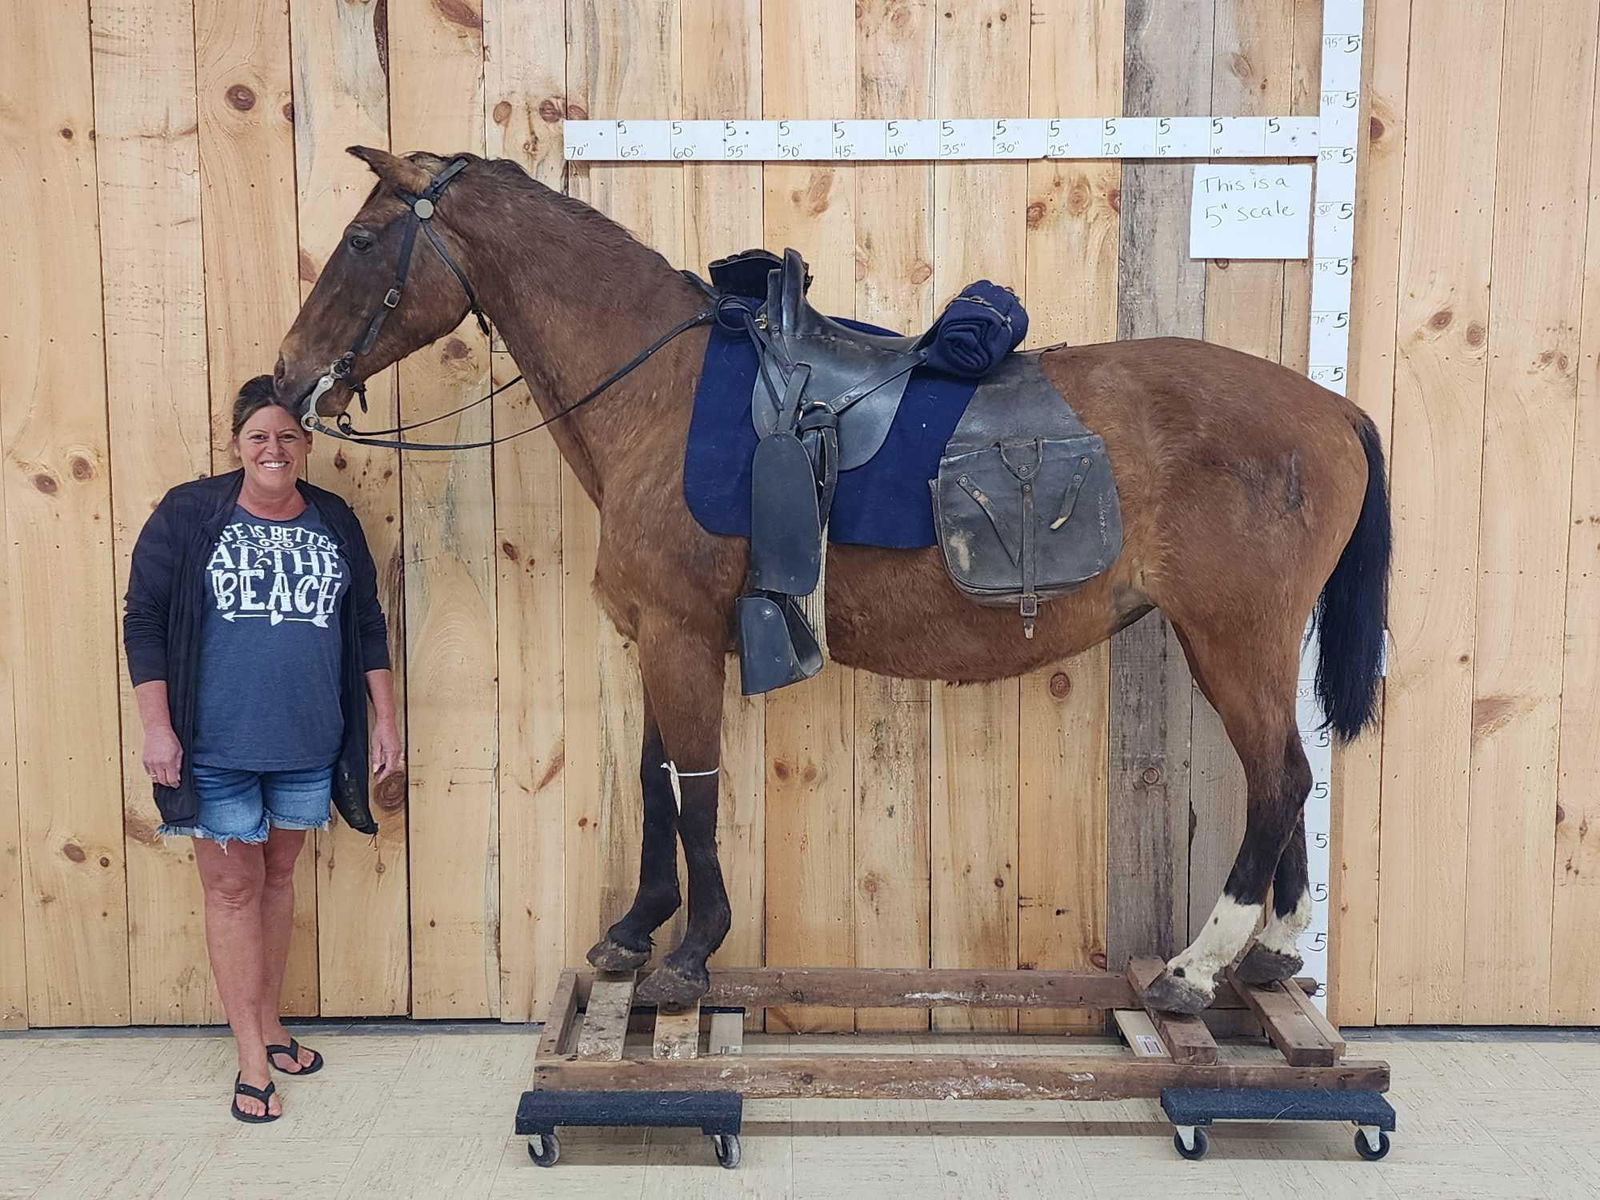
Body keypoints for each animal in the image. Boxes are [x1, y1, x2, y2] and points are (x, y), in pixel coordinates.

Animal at [272, 148, 1390, 1016]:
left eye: (362, 242)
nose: (285, 380)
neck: (661, 394)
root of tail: (1330, 407)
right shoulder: (661, 634)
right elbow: (656, 782)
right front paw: (634, 931)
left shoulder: (679, 634)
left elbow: (696, 789)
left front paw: (690, 953)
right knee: (1285, 777)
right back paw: (1273, 954)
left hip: (1232, 637)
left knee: (1276, 780)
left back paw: (1196, 972)